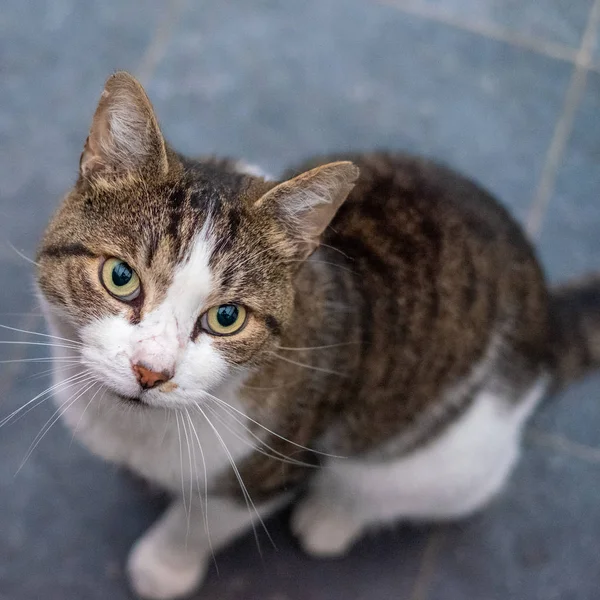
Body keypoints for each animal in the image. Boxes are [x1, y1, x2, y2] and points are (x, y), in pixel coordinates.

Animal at [36, 74, 600, 600]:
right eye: (120, 277)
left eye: (226, 317)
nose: (151, 371)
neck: (134, 427)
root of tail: (544, 312)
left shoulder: (270, 466)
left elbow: (202, 522)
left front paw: (164, 564)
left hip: (456, 452)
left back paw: (332, 517)